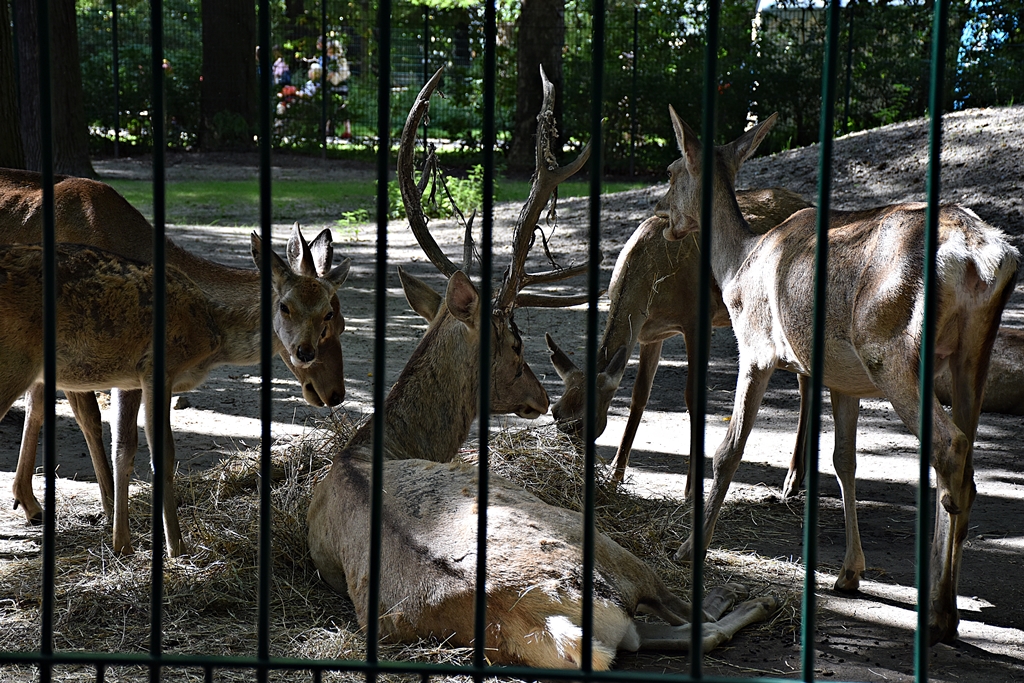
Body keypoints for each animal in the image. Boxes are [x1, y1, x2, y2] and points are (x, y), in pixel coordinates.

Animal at [0, 168, 350, 556]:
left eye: (336, 319)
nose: (335, 392)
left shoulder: (124, 375)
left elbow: (120, 444)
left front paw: (120, 536)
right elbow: (103, 427)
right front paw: (154, 536)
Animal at [305, 67, 777, 669]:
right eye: (514, 340)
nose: (541, 398)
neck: (375, 447)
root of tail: (542, 620)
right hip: (595, 541)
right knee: (687, 614)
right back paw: (746, 595)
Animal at [545, 187, 812, 488]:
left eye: (586, 420)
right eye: (555, 411)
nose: (564, 459)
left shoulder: (697, 319)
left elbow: (692, 397)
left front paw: (690, 488)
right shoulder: (650, 334)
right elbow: (640, 395)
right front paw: (616, 473)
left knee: (804, 380)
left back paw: (794, 477)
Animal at [656, 107, 1018, 645]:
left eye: (672, 171)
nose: (661, 213)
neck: (735, 268)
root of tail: (989, 257)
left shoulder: (756, 348)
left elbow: (728, 450)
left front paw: (687, 549)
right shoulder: (844, 379)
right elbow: (844, 461)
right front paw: (849, 573)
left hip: (891, 351)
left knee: (949, 449)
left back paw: (940, 613)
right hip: (974, 352)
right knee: (964, 457)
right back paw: (945, 604)